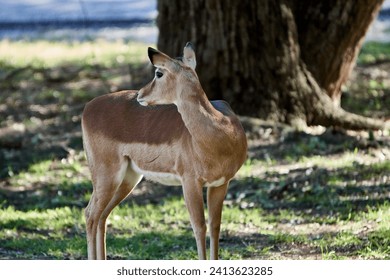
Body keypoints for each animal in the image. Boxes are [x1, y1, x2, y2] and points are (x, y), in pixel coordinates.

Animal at [81, 42, 247, 260]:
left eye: (159, 73)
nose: (140, 95)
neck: (223, 132)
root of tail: (88, 107)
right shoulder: (190, 182)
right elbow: (199, 227)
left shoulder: (220, 183)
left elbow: (215, 226)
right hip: (107, 176)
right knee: (91, 214)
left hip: (128, 179)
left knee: (102, 216)